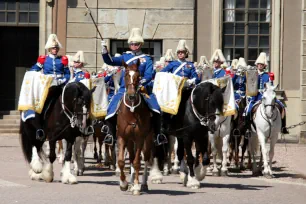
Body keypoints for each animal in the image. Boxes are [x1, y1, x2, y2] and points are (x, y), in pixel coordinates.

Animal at [116, 59, 154, 195]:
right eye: (126, 75)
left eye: (138, 76)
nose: (132, 96)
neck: (132, 110)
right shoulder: (122, 137)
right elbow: (121, 161)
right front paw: (123, 183)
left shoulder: (140, 138)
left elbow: (138, 162)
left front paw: (137, 186)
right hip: (130, 141)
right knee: (131, 158)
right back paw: (131, 183)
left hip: (148, 139)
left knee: (146, 159)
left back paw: (143, 184)